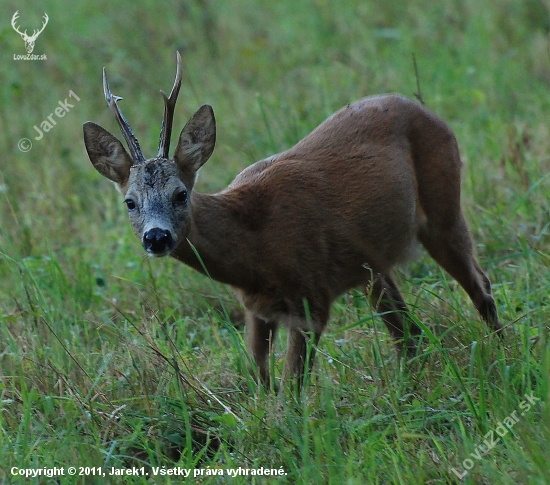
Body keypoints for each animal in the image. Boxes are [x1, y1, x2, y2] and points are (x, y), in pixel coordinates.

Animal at [83, 53, 504, 392]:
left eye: (180, 194)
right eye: (130, 202)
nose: (156, 237)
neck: (254, 245)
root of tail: (425, 109)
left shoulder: (310, 298)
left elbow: (291, 389)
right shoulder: (257, 309)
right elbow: (260, 378)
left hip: (443, 207)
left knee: (479, 287)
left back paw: (504, 356)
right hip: (370, 265)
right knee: (407, 332)